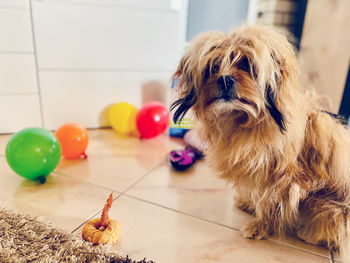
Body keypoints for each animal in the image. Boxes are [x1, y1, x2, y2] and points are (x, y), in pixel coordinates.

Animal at [171, 25, 350, 260]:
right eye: (214, 66)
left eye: (246, 65)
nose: (225, 79)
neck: (245, 120)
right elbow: (259, 197)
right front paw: (250, 205)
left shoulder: (283, 182)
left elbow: (270, 205)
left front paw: (260, 227)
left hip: (327, 207)